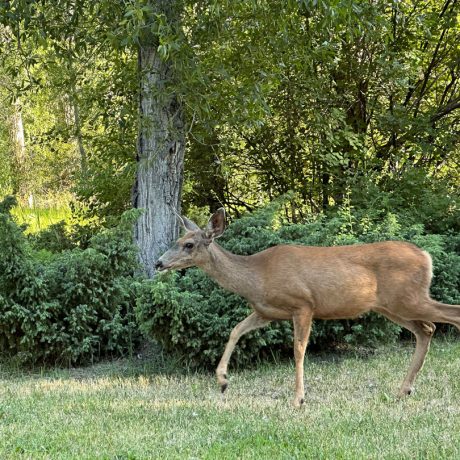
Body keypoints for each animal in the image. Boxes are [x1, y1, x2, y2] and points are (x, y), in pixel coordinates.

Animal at [155, 208, 460, 406]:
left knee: (451, 315)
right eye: (177, 241)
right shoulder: (266, 312)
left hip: (408, 298)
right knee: (426, 329)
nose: (158, 263)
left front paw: (299, 399)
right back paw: (403, 390)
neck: (257, 276)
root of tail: (426, 256)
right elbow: (235, 330)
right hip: (392, 306)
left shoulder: (303, 304)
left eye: (188, 244)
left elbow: (298, 350)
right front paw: (222, 381)